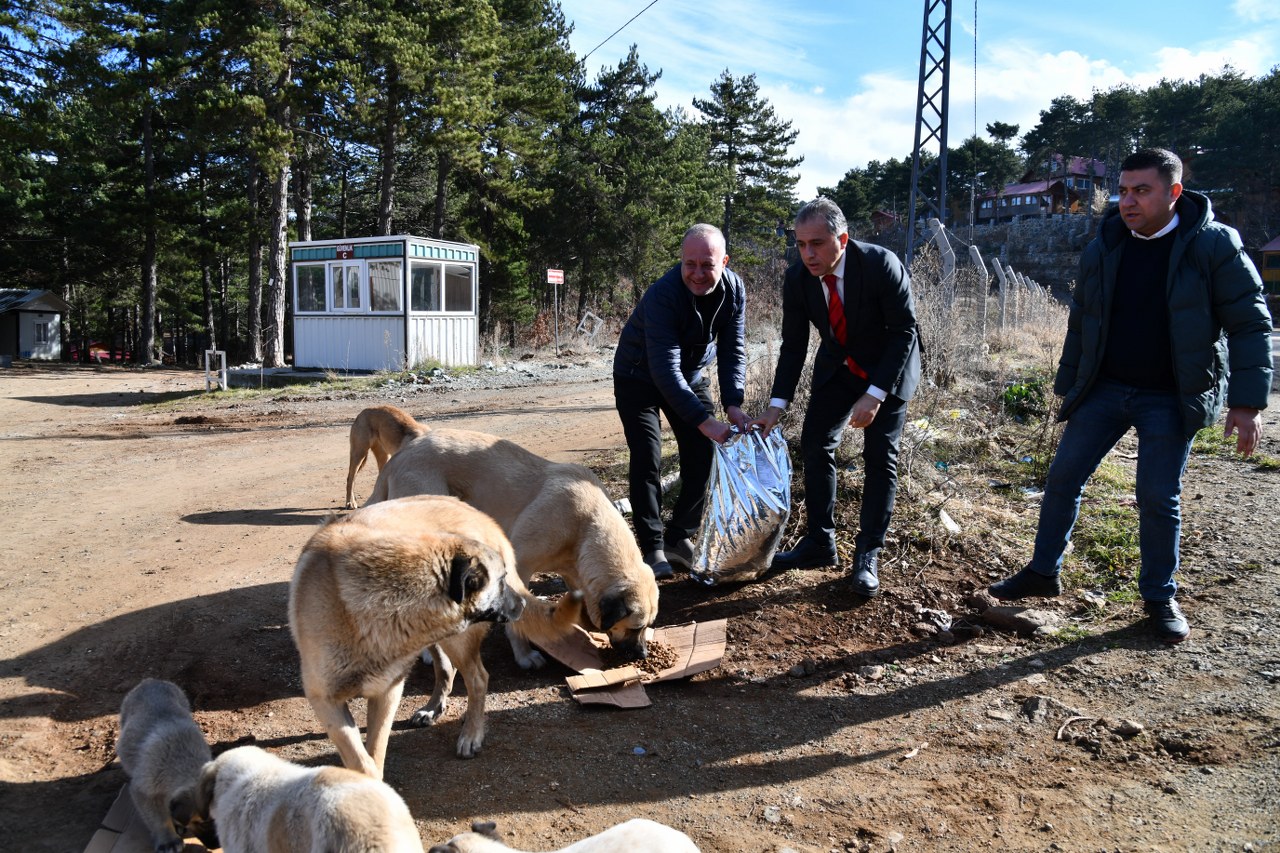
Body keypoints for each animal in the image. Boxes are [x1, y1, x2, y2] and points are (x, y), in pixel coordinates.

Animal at [116, 676, 216, 850]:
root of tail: (150, 680)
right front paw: (168, 840)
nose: (216, 846)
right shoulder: (143, 793)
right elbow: (160, 820)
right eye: (205, 822)